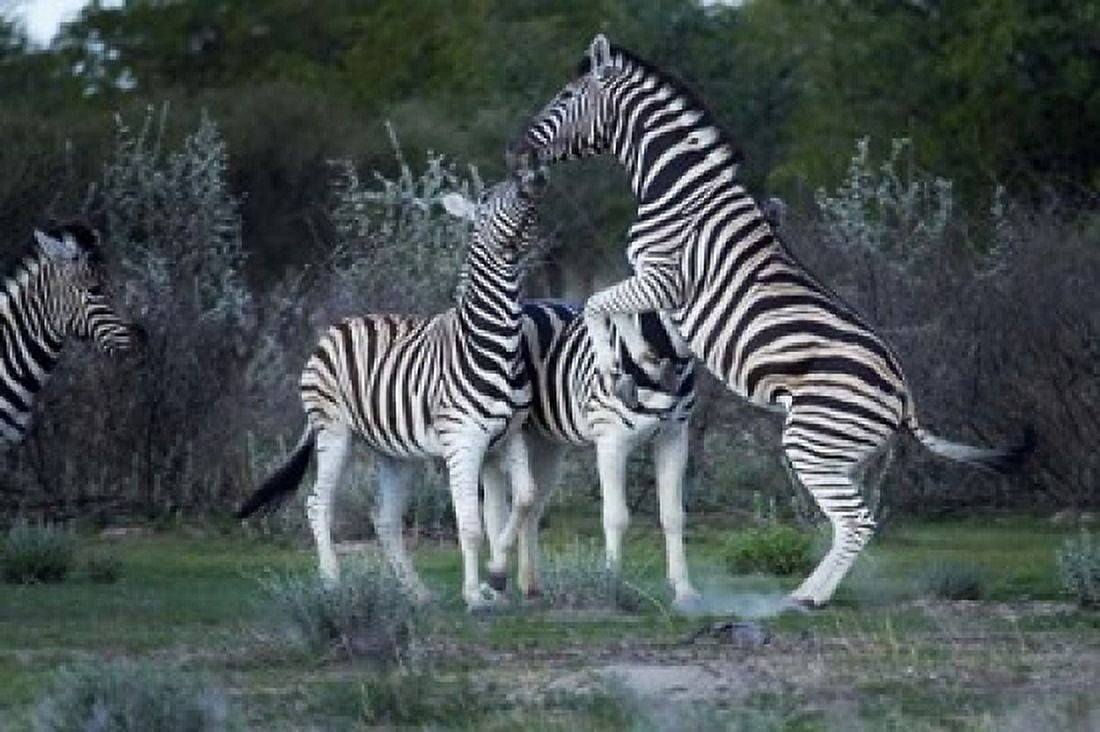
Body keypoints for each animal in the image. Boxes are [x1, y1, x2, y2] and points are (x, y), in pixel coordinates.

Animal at [235, 174, 543, 609]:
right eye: (486, 202)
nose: (528, 182)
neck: (495, 343)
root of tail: (338, 326)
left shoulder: (510, 436)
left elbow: (526, 498)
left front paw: (496, 574)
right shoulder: (463, 442)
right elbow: (470, 525)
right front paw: (474, 594)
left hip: (395, 452)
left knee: (384, 518)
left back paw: (416, 592)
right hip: (334, 430)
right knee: (318, 504)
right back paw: (332, 584)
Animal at [479, 300, 701, 610]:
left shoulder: (674, 438)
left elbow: (673, 516)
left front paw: (684, 591)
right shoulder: (611, 441)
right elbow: (616, 516)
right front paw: (612, 588)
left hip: (547, 444)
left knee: (532, 508)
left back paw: (530, 586)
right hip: (500, 437)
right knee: (494, 510)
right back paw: (497, 586)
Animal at [508, 35, 1032, 607]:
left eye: (566, 95)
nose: (520, 150)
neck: (679, 192)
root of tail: (904, 393)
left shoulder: (662, 277)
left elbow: (598, 302)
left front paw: (622, 362)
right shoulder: (652, 284)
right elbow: (609, 307)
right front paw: (636, 363)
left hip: (812, 441)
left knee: (857, 522)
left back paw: (808, 596)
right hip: (841, 452)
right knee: (852, 519)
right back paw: (810, 590)